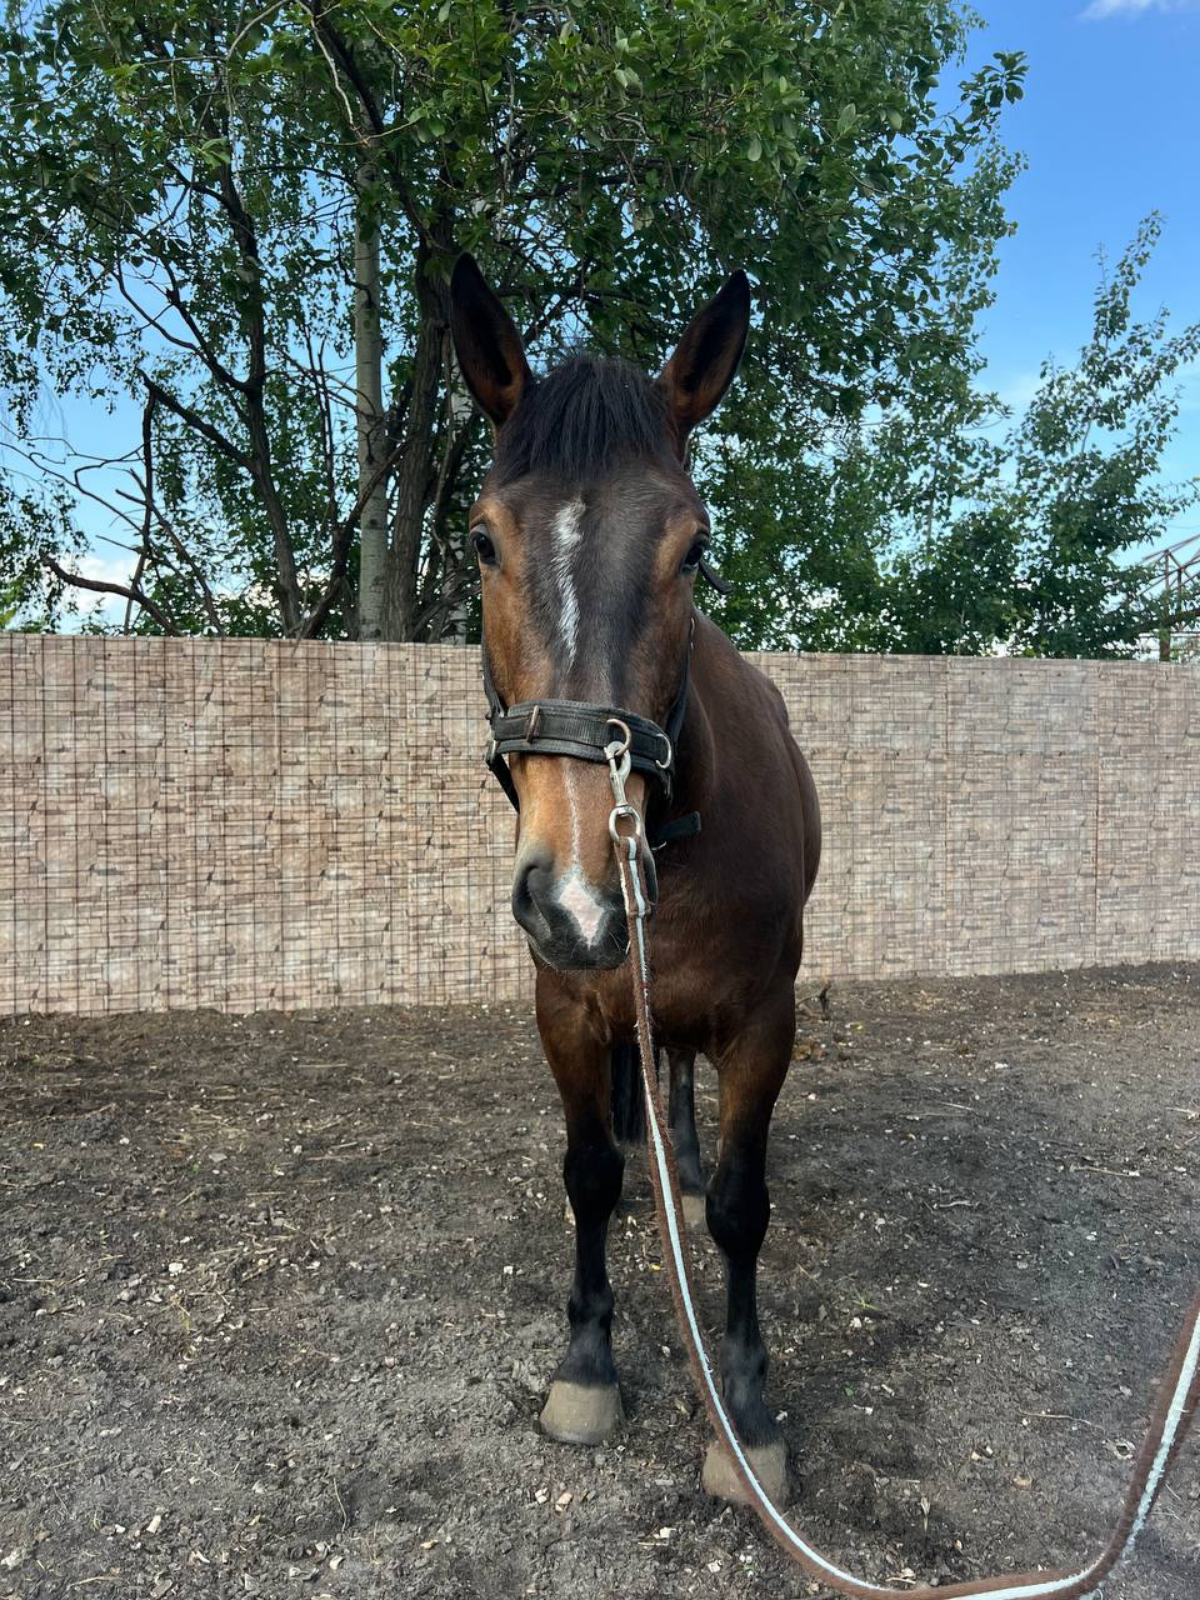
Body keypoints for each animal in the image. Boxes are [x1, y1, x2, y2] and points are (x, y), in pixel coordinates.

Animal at [449, 254, 821, 1507]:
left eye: (694, 547)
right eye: (482, 540)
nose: (575, 894)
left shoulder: (764, 1018)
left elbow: (744, 1208)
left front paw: (746, 1409)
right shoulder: (565, 1004)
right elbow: (589, 1174)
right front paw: (587, 1363)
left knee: (681, 1083)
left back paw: (686, 1155)